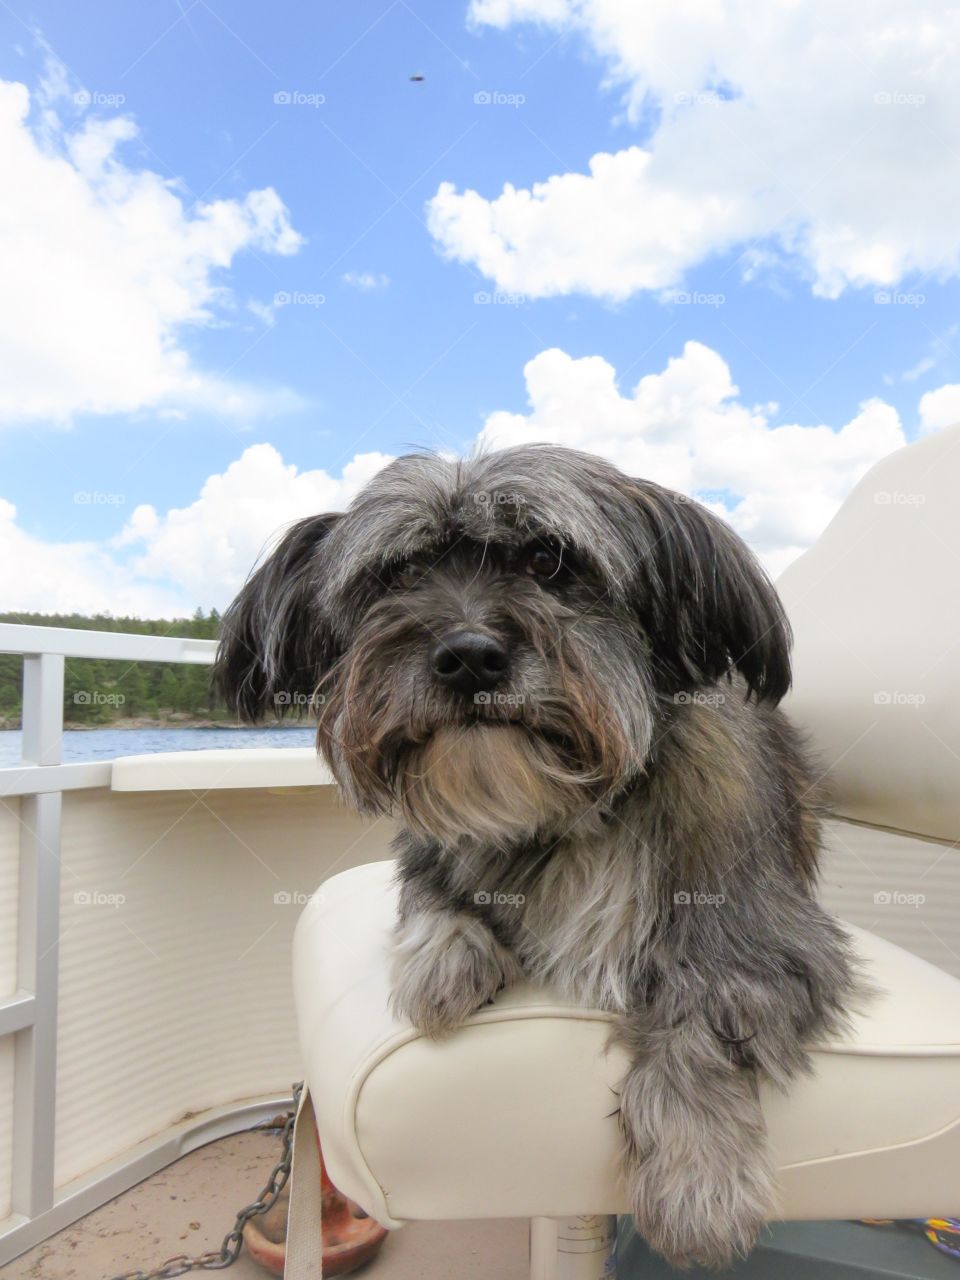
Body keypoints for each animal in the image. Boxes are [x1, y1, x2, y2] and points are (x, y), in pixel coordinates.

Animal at [216, 445, 865, 1264]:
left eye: (548, 560)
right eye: (398, 574)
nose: (467, 658)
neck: (572, 813)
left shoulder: (766, 944)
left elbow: (699, 1024)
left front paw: (699, 1179)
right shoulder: (431, 857)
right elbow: (433, 903)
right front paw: (442, 962)